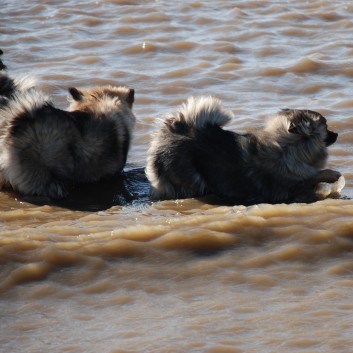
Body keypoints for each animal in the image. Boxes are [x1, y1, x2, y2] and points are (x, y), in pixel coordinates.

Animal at [146, 94, 344, 204]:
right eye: (326, 127)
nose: (337, 134)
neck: (288, 149)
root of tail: (174, 129)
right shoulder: (290, 184)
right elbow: (314, 176)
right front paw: (333, 174)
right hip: (190, 177)